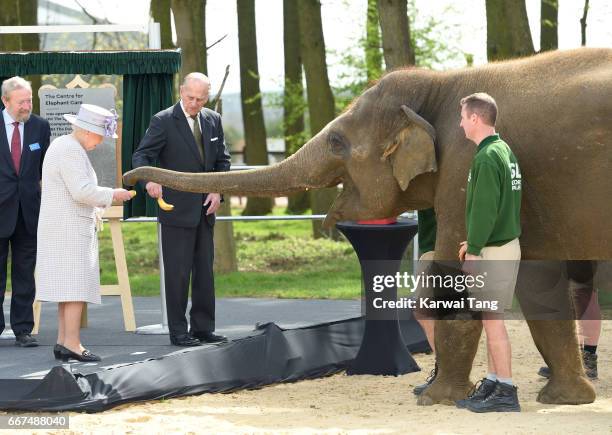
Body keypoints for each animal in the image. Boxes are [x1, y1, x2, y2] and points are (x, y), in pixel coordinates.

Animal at [125, 49, 612, 408]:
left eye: (337, 142)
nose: (132, 179)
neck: (440, 84)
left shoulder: (465, 167)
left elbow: (452, 274)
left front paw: (434, 399)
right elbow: (538, 282)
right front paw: (566, 400)